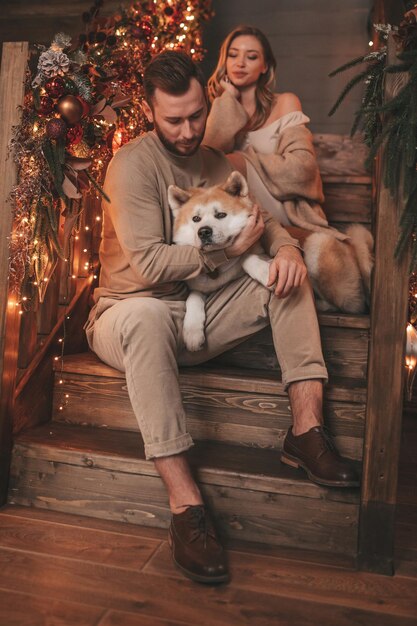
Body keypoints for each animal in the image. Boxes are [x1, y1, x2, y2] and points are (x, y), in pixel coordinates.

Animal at [167, 168, 272, 348]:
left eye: (221, 215)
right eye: (196, 219)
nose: (203, 232)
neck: (218, 266)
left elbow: (246, 258)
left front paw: (264, 272)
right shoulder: (196, 287)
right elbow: (192, 299)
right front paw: (192, 331)